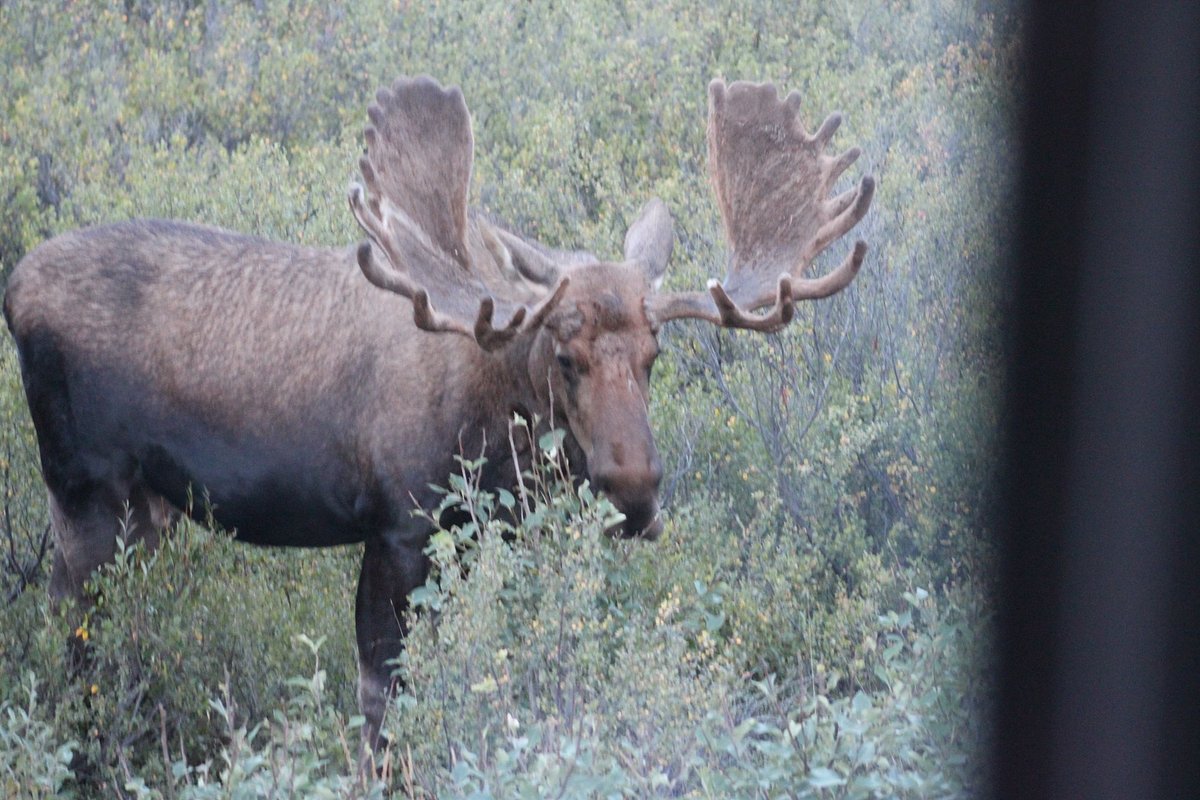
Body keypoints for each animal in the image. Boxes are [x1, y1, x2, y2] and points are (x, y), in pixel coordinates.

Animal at [4, 73, 878, 743]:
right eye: (565, 356)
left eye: (655, 358)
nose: (635, 492)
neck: (496, 430)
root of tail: (14, 289)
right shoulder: (399, 522)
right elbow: (381, 701)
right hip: (84, 493)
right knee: (71, 644)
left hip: (145, 512)